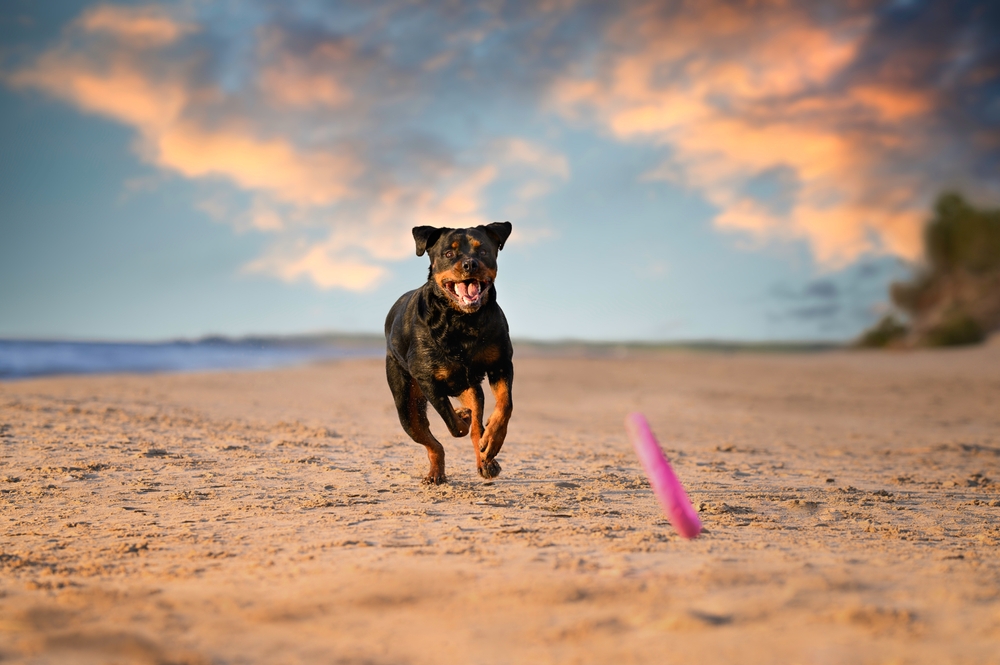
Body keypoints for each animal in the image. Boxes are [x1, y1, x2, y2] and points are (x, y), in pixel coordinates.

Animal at [384, 222, 516, 482]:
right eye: (448, 253)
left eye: (483, 251)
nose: (470, 264)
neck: (462, 321)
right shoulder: (427, 379)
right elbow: (452, 422)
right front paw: (462, 417)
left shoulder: (501, 363)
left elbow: (505, 405)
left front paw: (492, 441)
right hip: (405, 404)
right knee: (432, 442)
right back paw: (436, 472)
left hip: (470, 386)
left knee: (475, 423)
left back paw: (486, 461)